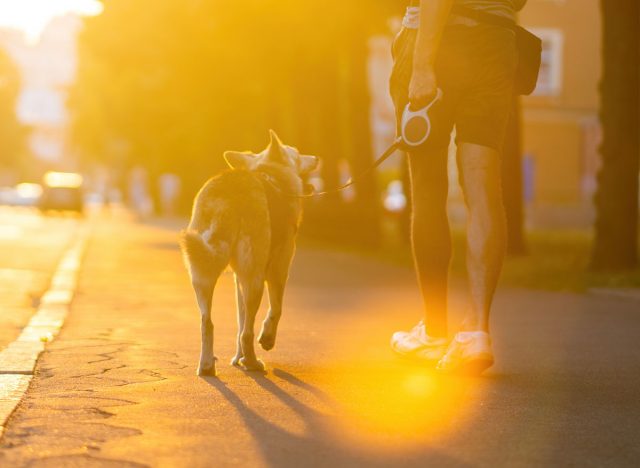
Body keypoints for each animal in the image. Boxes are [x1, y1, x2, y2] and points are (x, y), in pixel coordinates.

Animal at [179, 130, 318, 374]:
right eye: (298, 153)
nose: (318, 158)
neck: (273, 176)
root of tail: (226, 193)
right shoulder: (279, 269)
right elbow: (276, 310)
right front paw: (266, 340)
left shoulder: (238, 279)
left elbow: (240, 320)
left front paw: (238, 358)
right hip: (255, 278)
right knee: (246, 332)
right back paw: (253, 363)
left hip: (202, 274)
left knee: (208, 322)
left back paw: (207, 365)